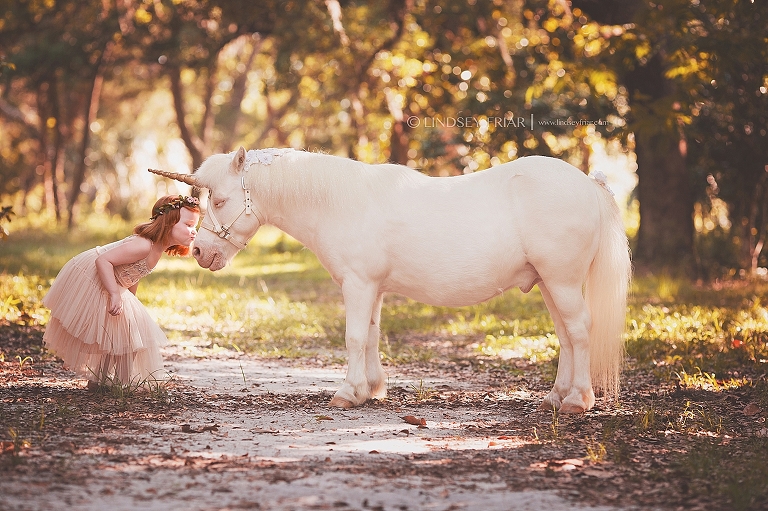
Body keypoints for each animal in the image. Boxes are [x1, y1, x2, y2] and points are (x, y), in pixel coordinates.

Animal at [150, 146, 632, 414]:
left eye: (221, 200)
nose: (200, 252)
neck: (340, 203)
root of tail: (588, 184)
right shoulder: (373, 288)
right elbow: (372, 335)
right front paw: (372, 390)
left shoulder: (358, 285)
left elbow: (353, 337)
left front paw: (347, 393)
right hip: (550, 283)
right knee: (567, 336)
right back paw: (556, 398)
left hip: (562, 281)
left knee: (580, 331)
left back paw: (578, 401)